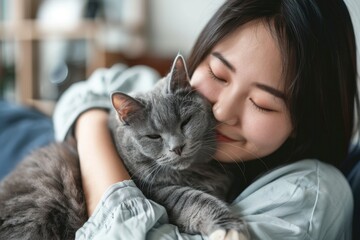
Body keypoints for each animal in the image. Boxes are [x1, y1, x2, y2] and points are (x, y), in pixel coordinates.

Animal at [0, 54, 248, 240]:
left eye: (185, 122)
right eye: (153, 136)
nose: (177, 147)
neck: (194, 173)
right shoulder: (156, 192)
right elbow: (194, 199)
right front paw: (230, 229)